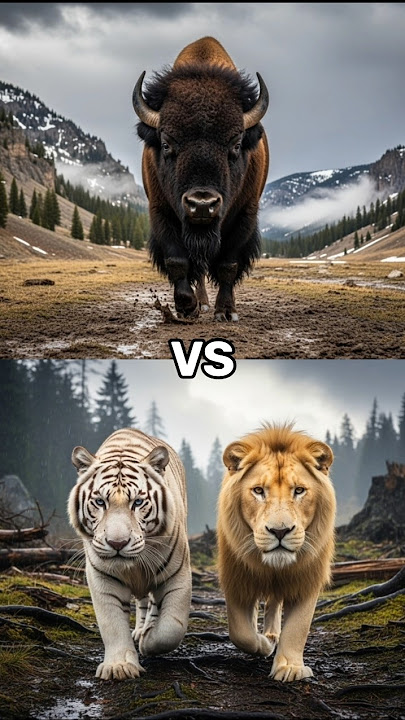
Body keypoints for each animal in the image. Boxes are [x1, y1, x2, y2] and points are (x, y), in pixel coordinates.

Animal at [68, 427, 192, 681]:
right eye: (99, 502)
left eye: (138, 502)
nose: (117, 543)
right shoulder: (102, 577)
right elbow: (112, 624)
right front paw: (120, 667)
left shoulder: (178, 574)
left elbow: (171, 628)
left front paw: (149, 640)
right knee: (143, 603)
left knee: (154, 605)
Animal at [217, 424, 336, 682]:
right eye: (258, 490)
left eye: (299, 490)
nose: (279, 531)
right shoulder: (237, 578)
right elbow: (240, 632)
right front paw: (263, 645)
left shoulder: (306, 578)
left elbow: (298, 628)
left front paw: (289, 667)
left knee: (274, 602)